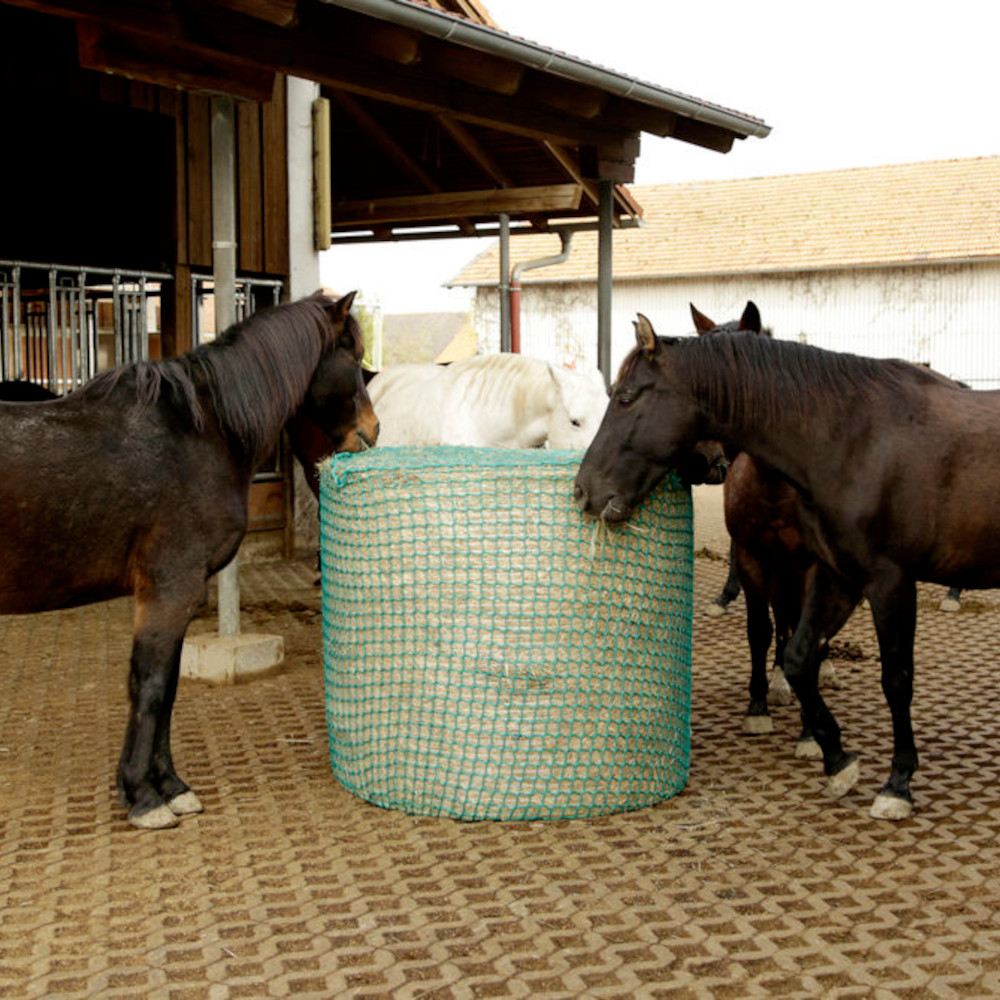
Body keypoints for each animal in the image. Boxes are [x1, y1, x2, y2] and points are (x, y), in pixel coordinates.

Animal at [1, 290, 376, 828]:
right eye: (352, 355)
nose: (372, 431)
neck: (203, 430)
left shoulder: (176, 599)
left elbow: (170, 688)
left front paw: (170, 786)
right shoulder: (169, 590)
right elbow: (152, 686)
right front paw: (144, 797)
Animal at [576, 318, 996, 820]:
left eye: (625, 398)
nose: (583, 491)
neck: (855, 441)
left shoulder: (889, 581)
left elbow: (896, 679)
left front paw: (897, 783)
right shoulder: (839, 573)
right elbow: (798, 657)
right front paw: (836, 758)